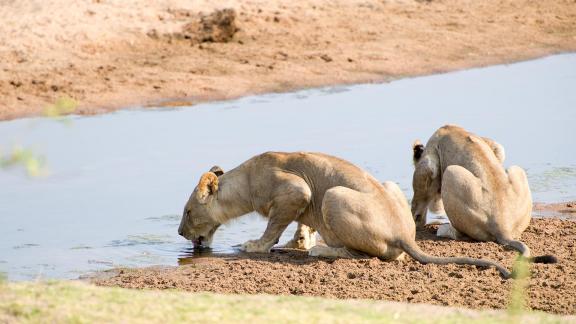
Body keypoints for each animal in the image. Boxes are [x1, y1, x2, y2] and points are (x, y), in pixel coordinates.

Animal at [178, 151, 510, 278]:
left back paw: (324, 250)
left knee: (363, 254)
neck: (245, 181)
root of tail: (403, 234)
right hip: (387, 186)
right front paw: (299, 241)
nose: (180, 233)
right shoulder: (300, 201)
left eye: (188, 211)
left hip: (333, 195)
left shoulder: (295, 190)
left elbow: (273, 228)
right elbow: (301, 227)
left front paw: (254, 246)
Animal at [412, 124, 556, 264]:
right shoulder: (495, 146)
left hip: (451, 173)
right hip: (517, 170)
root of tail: (502, 226)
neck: (451, 128)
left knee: (459, 234)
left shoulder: (430, 157)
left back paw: (441, 230)